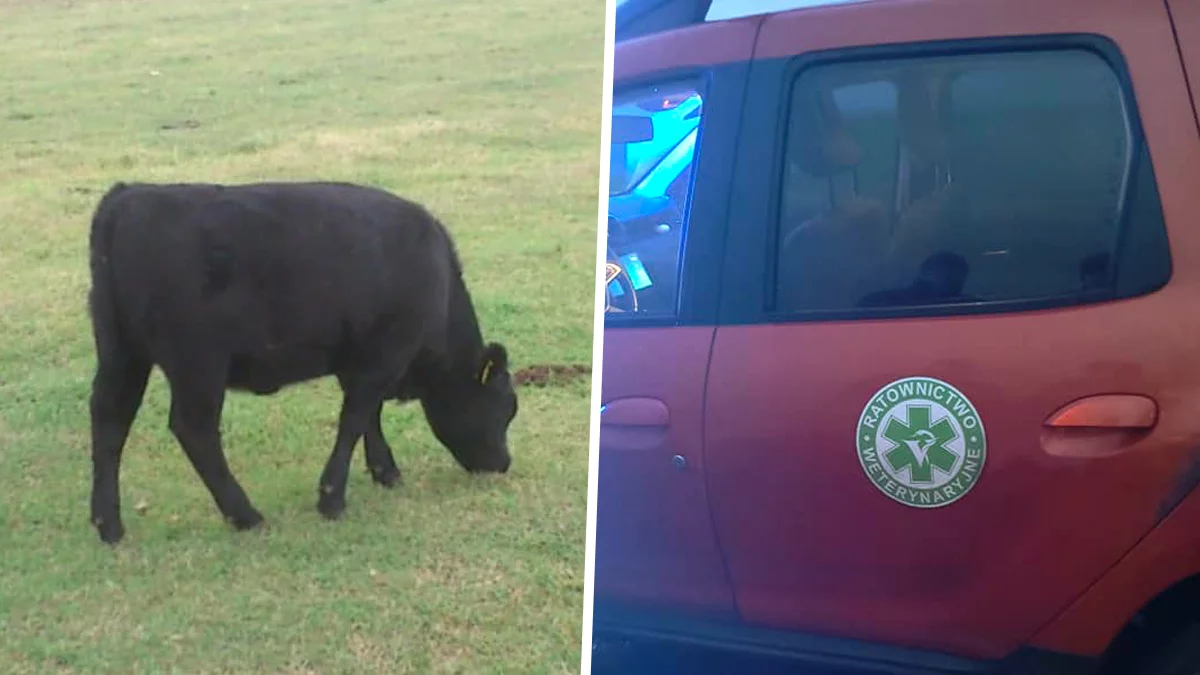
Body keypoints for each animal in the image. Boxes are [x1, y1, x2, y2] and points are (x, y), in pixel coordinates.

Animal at [84, 181, 516, 542]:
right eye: (502, 407)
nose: (502, 464)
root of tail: (128, 196)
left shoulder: (358, 363)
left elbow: (368, 418)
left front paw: (385, 472)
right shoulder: (382, 358)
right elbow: (353, 420)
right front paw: (332, 498)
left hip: (122, 355)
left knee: (109, 421)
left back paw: (109, 525)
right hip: (198, 364)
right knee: (194, 430)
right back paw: (246, 515)